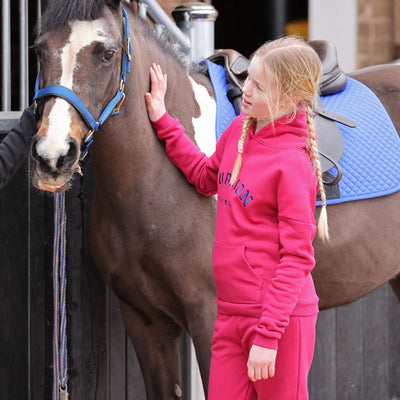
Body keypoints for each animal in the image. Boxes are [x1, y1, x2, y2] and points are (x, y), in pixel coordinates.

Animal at [29, 0, 400, 400]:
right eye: (38, 49)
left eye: (107, 53)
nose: (53, 156)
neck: (156, 181)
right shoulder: (145, 322)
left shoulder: (209, 318)